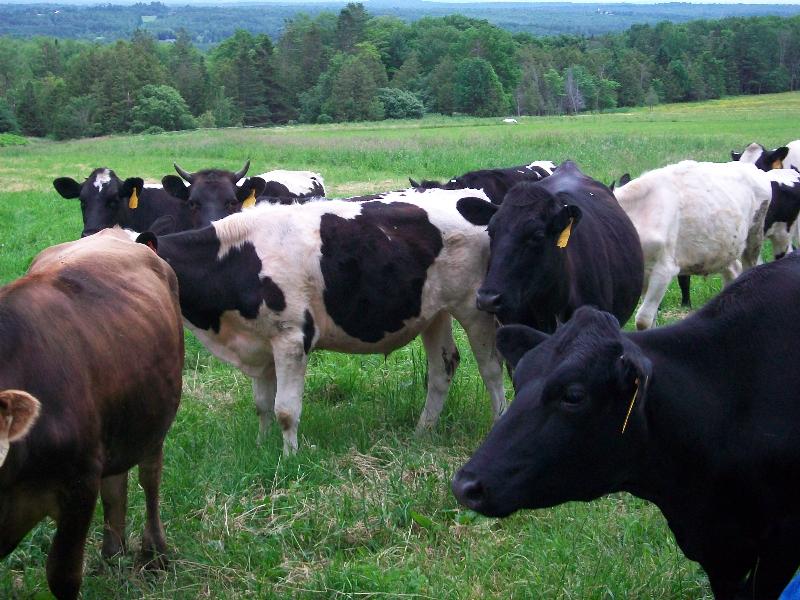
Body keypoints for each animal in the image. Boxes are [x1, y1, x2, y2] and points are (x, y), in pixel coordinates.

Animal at [0, 229, 184, 600]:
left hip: (154, 420)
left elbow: (63, 574)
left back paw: (154, 553)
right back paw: (113, 553)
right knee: (115, 483)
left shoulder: (79, 484)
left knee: (150, 478)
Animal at [135, 188, 506, 455]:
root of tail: (474, 198)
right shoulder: (260, 342)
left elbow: (285, 410)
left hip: (475, 307)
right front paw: (261, 446)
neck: (236, 260)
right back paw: (422, 432)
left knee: (490, 368)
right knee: (443, 368)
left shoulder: (291, 338)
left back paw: (497, 422)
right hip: (432, 311)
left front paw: (290, 458)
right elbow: (262, 406)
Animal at [613, 160, 800, 330]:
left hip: (759, 236)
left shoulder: (664, 269)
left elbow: (643, 319)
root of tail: (751, 168)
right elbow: (651, 317)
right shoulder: (644, 273)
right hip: (725, 247)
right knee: (734, 270)